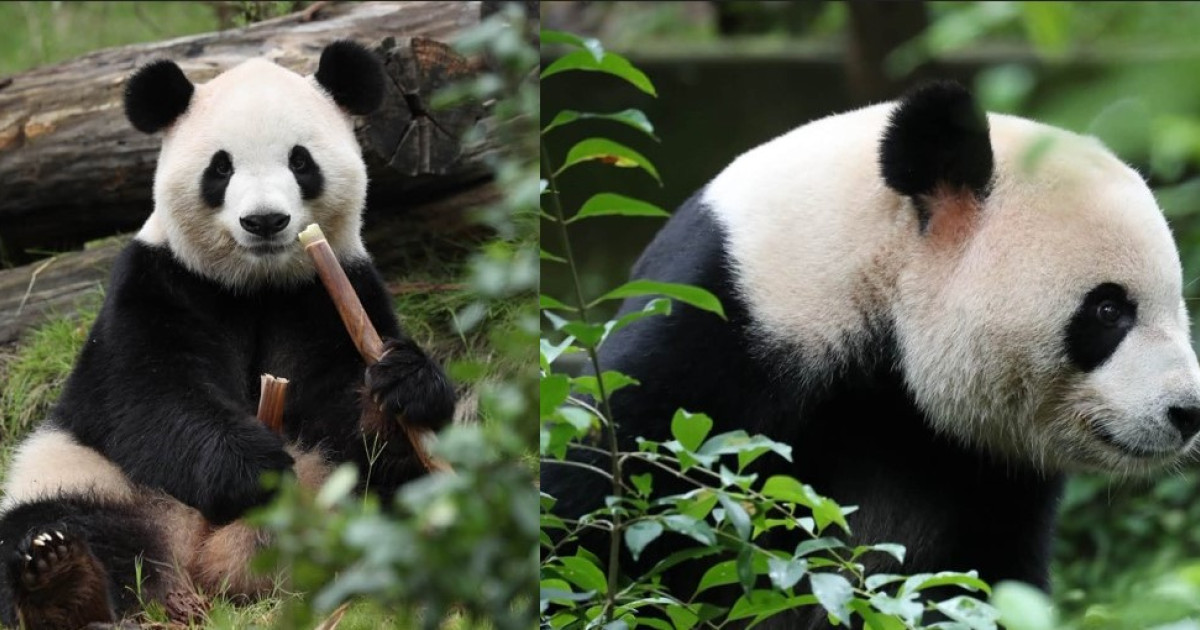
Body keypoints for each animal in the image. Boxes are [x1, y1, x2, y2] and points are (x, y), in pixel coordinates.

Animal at [0, 41, 457, 628]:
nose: (264, 221)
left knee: (401, 494)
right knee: (54, 523)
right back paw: (62, 579)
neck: (256, 284)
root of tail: (202, 566)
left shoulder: (329, 291)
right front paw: (252, 468)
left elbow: (343, 405)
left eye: (300, 161)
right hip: (90, 475)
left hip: (333, 493)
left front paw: (402, 385)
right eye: (221, 167)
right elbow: (147, 393)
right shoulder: (158, 282)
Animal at [541, 82, 1200, 624]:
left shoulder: (975, 463)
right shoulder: (722, 324)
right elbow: (599, 491)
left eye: (1176, 303)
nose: (1188, 413)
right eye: (1109, 310)